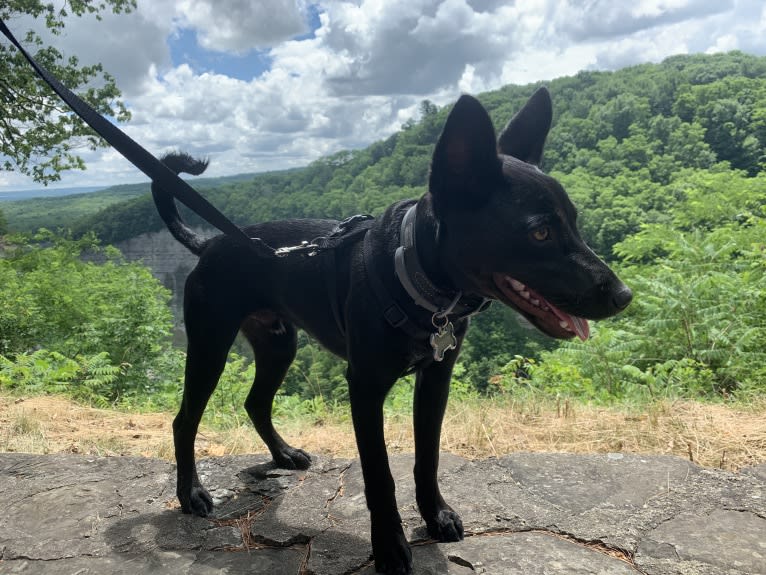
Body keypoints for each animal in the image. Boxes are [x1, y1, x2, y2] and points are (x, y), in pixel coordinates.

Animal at [153, 88, 632, 572]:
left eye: (574, 220)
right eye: (539, 232)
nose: (623, 296)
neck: (414, 274)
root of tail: (210, 243)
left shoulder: (435, 380)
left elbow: (428, 456)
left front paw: (436, 514)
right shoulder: (364, 389)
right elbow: (380, 476)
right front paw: (389, 547)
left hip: (278, 344)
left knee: (255, 402)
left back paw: (283, 454)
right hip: (211, 344)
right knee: (184, 420)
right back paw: (191, 493)